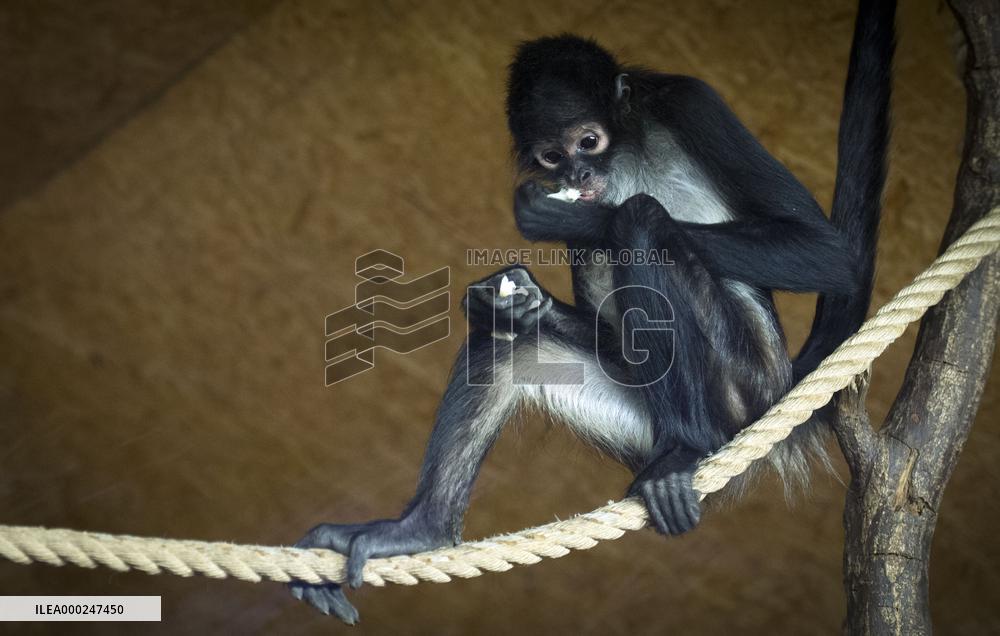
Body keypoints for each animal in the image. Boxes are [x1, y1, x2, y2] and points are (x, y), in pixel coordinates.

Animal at [290, 0, 895, 623]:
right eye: (553, 156)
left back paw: (685, 448)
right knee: (509, 342)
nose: (577, 177)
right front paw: (519, 298)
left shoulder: (691, 101)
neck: (625, 147)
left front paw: (568, 218)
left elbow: (830, 255)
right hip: (642, 420)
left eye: (588, 141)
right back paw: (419, 530)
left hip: (740, 383)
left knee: (640, 220)